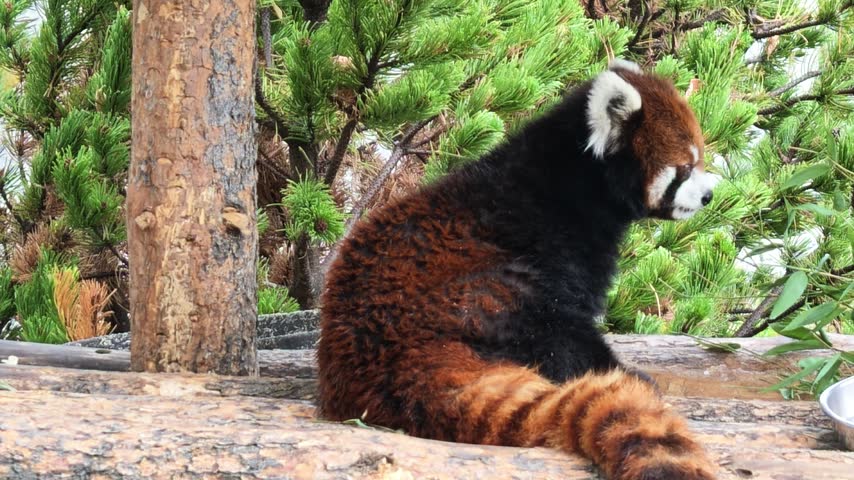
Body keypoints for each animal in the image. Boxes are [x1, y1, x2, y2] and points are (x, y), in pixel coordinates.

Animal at [317, 59, 718, 480]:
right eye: (684, 168)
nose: (709, 195)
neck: (578, 181)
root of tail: (387, 368)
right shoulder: (560, 240)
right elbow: (572, 319)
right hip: (481, 290)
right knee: (544, 324)